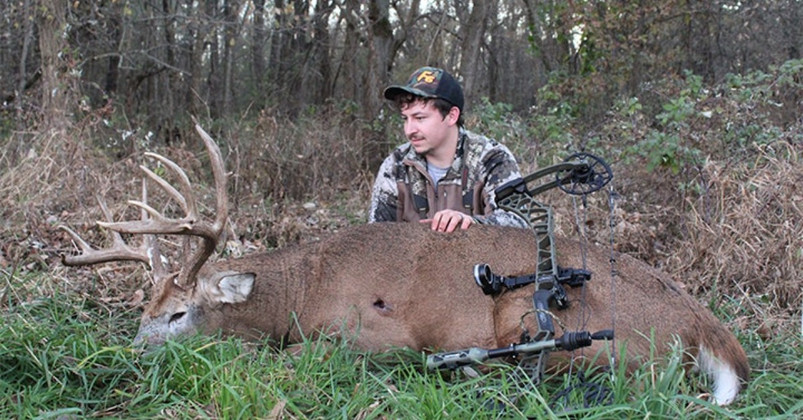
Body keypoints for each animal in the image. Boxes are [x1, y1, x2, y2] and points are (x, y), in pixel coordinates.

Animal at [60, 124, 749, 406]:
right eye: (142, 309)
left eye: (178, 314)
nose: (128, 357)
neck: (301, 290)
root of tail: (702, 324)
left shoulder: (373, 332)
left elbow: (293, 355)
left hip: (543, 318)